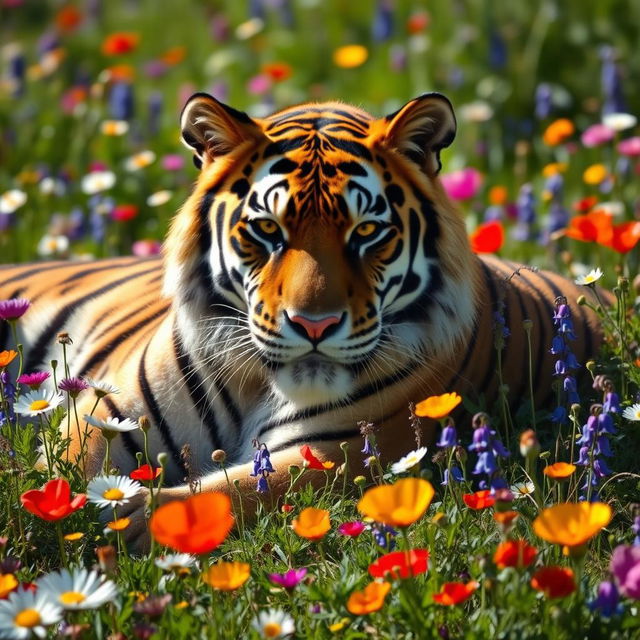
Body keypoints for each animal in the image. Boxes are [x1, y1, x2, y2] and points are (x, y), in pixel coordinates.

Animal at [0, 94, 604, 544]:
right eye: (268, 229)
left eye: (366, 232)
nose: (314, 326)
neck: (253, 383)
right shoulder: (109, 413)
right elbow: (70, 469)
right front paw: (55, 508)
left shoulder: (338, 452)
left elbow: (217, 495)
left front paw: (118, 523)